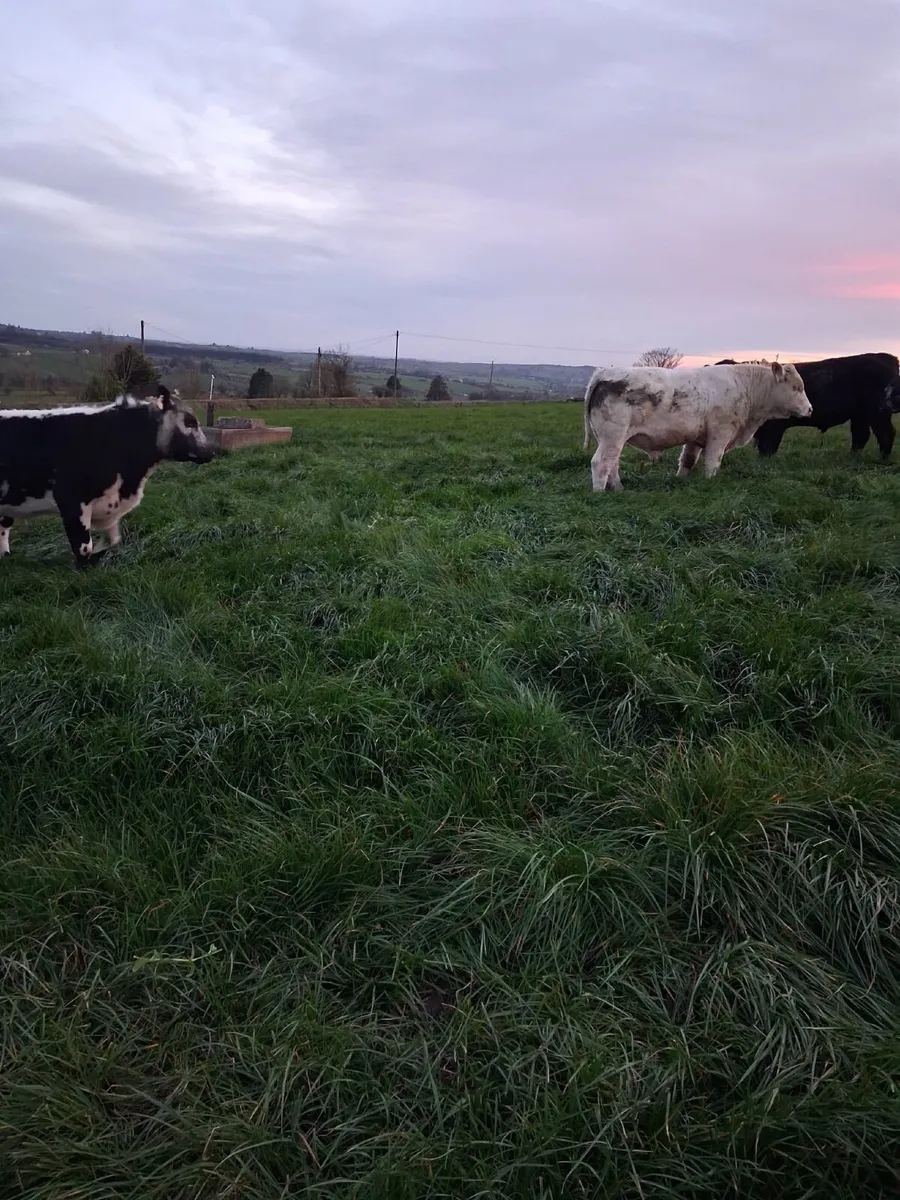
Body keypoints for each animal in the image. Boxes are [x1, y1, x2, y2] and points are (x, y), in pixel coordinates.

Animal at [582, 361, 812, 491]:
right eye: (796, 387)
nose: (810, 409)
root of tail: (602, 374)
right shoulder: (720, 433)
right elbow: (712, 462)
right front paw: (709, 482)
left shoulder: (694, 438)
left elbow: (688, 461)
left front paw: (681, 481)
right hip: (613, 436)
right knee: (601, 463)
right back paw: (600, 493)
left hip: (613, 440)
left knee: (612, 464)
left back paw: (619, 489)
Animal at [714, 353, 900, 459]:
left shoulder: (773, 427)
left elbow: (768, 446)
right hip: (861, 416)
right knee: (861, 436)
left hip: (878, 413)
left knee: (885, 434)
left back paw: (882, 459)